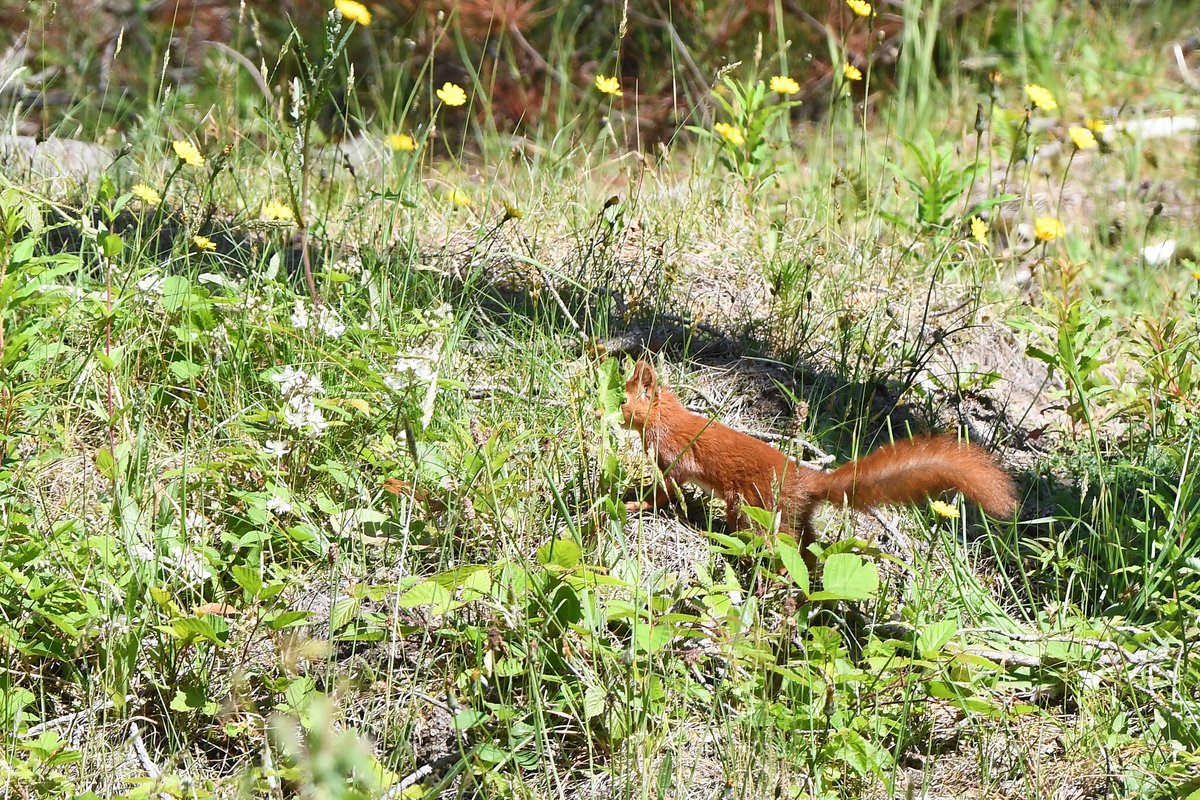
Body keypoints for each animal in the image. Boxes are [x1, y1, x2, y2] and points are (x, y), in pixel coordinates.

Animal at [619, 360, 1017, 560]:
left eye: (623, 400)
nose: (609, 415)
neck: (667, 418)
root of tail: (805, 481)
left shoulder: (673, 457)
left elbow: (666, 492)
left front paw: (637, 503)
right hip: (791, 515)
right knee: (804, 545)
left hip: (753, 506)